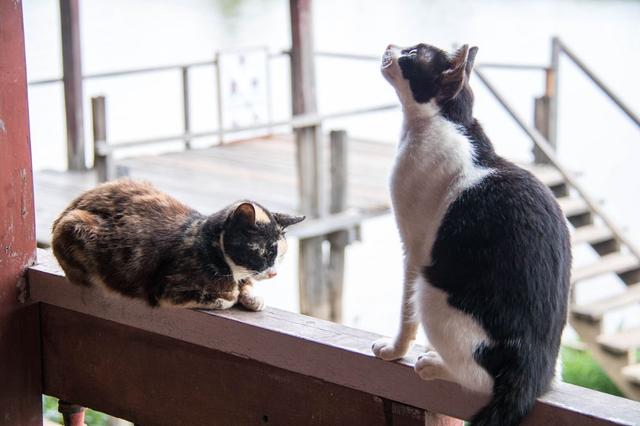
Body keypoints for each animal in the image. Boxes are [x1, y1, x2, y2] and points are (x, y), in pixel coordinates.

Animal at [51, 180, 304, 310]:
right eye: (263, 253)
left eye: (280, 256)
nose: (273, 273)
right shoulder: (166, 291)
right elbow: (223, 298)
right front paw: (232, 295)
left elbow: (248, 286)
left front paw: (253, 298)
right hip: (75, 226)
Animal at [370, 44, 568, 426]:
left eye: (413, 53)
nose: (390, 47)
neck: (446, 122)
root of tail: (532, 364)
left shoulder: (414, 249)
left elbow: (406, 316)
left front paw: (395, 350)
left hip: (429, 291)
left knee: (477, 377)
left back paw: (435, 364)